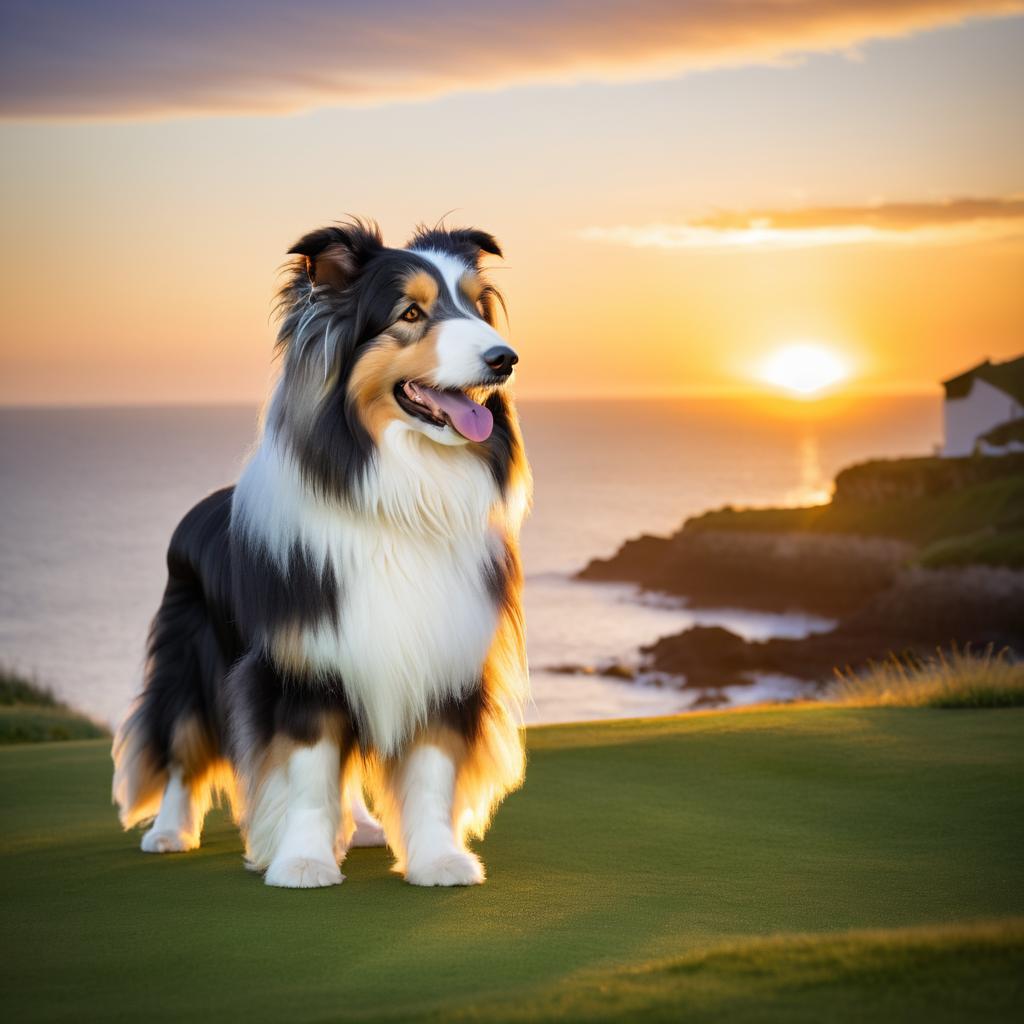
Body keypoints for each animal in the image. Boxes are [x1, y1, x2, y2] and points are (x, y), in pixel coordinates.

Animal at [112, 218, 532, 888]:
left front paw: (438, 859)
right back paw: (171, 833)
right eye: (410, 313)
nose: (505, 359)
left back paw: (358, 827)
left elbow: (431, 772)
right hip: (191, 660)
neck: (397, 494)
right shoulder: (302, 663)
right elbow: (309, 774)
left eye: (473, 306)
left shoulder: (439, 655)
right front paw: (303, 861)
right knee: (181, 744)